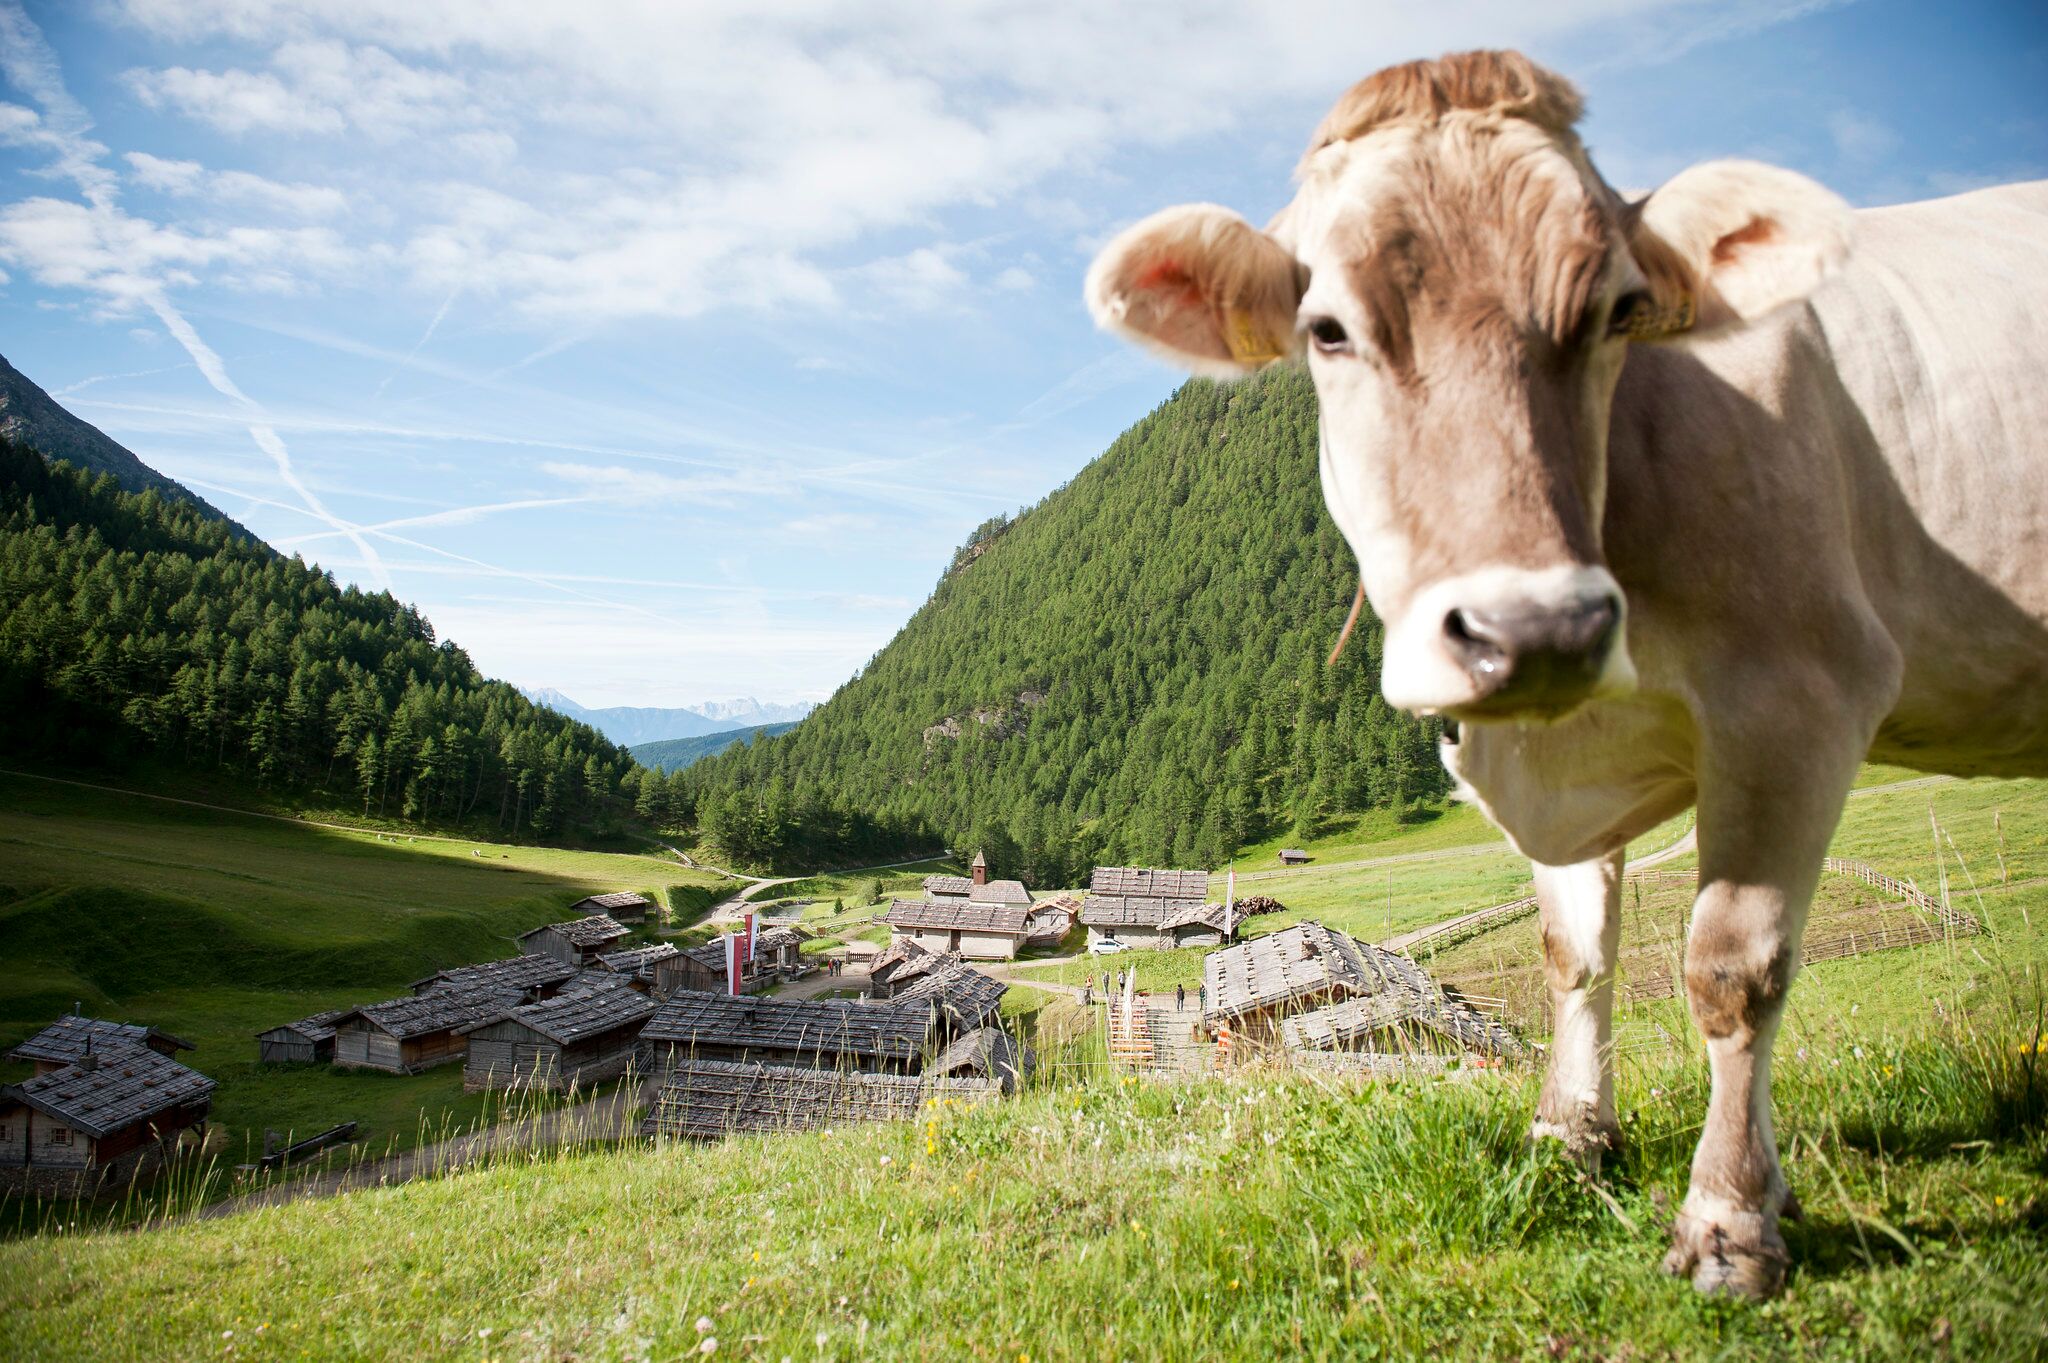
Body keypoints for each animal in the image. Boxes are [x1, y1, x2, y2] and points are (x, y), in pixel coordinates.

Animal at [1089, 47, 2048, 1293]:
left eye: (1617, 312)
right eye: (1327, 329)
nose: (1533, 627)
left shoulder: (1798, 695)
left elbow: (1732, 968)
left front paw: (1728, 1219)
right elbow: (1573, 953)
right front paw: (1569, 1138)